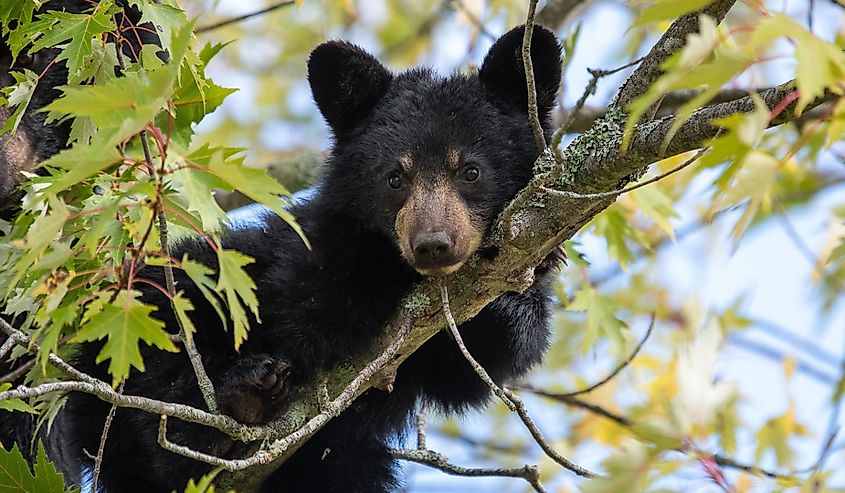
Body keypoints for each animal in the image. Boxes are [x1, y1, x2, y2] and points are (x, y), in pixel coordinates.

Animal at [9, 21, 563, 493]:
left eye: (470, 171)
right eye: (394, 177)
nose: (433, 244)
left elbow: (475, 368)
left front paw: (514, 297)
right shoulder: (307, 255)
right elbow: (317, 308)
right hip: (150, 316)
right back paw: (231, 405)